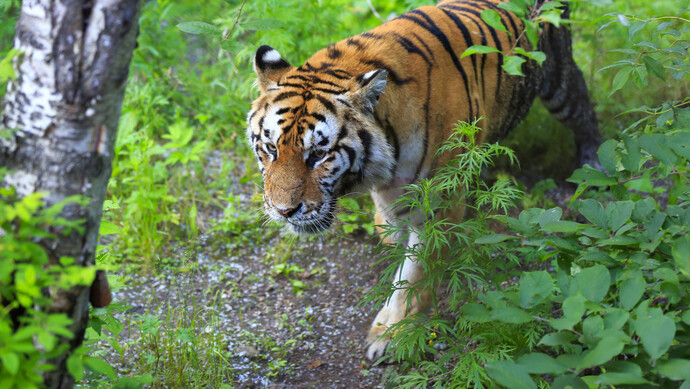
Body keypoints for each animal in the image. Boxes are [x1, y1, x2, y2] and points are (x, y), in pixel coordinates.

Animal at [246, 0, 596, 360]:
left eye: (318, 154)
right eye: (271, 148)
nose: (283, 211)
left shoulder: (438, 202)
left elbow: (414, 275)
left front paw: (392, 333)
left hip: (558, 78)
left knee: (584, 109)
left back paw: (592, 164)